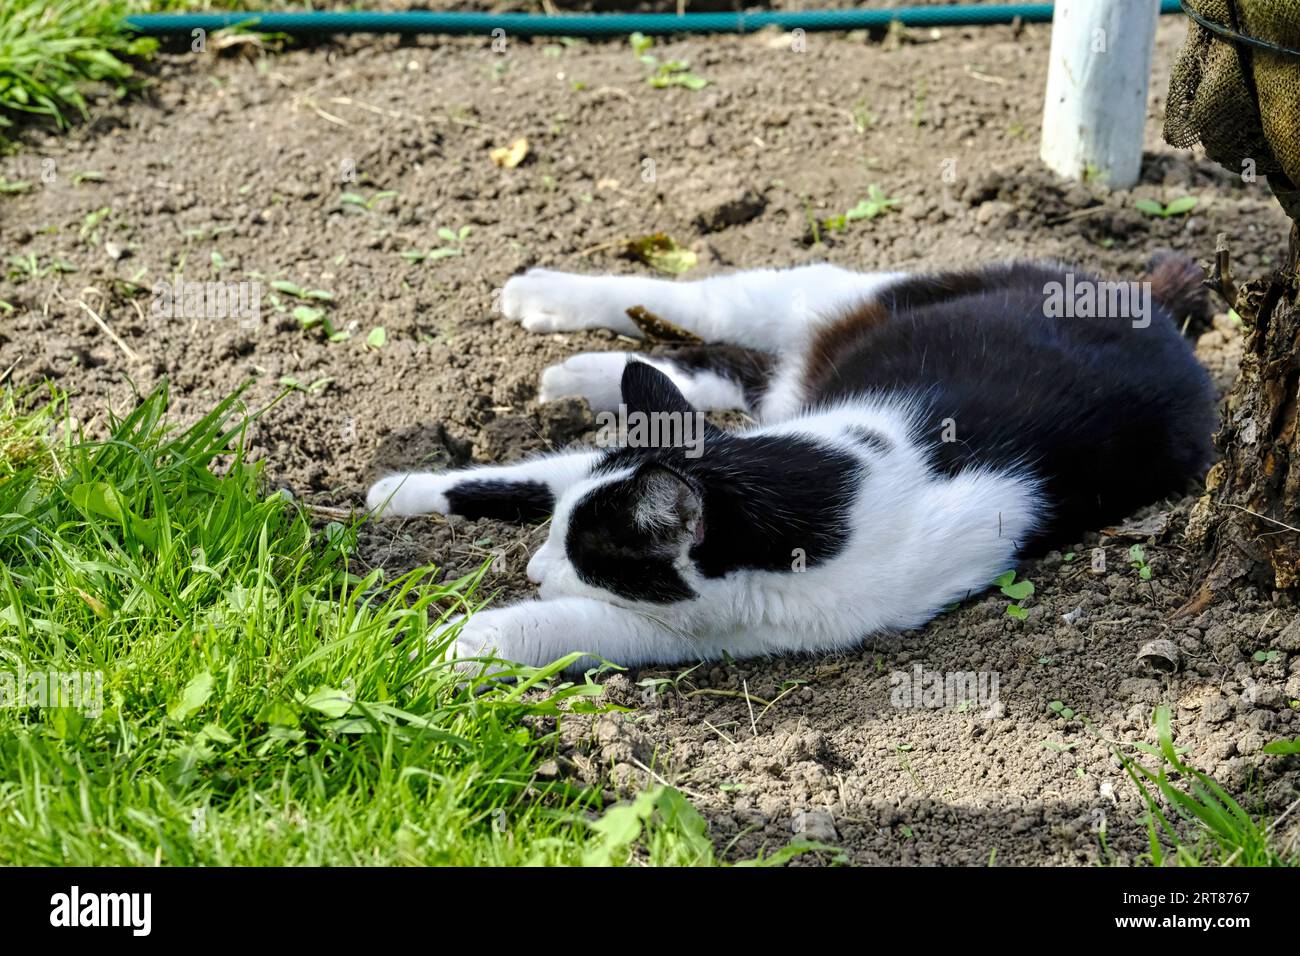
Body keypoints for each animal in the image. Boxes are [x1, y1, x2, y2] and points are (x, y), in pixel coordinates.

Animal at [366, 254, 1216, 671]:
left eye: (588, 554)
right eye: (559, 538)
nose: (535, 569)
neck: (820, 484)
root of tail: (1147, 304)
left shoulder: (723, 628)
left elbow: (583, 627)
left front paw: (453, 645)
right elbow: (539, 474)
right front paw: (399, 487)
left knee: (727, 368)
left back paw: (577, 370)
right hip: (839, 297)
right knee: (705, 315)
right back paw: (549, 308)